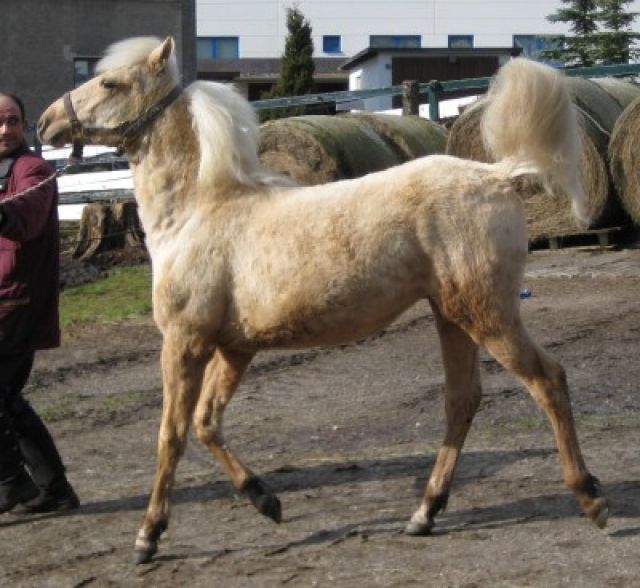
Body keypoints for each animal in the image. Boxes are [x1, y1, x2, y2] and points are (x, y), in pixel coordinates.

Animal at [38, 36, 608, 564]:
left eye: (110, 83)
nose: (46, 123)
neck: (199, 211)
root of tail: (498, 174)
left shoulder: (185, 342)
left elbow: (172, 434)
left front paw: (148, 536)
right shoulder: (235, 349)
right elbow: (206, 424)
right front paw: (265, 501)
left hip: (488, 315)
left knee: (547, 380)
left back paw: (590, 498)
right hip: (452, 318)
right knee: (461, 402)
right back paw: (424, 512)